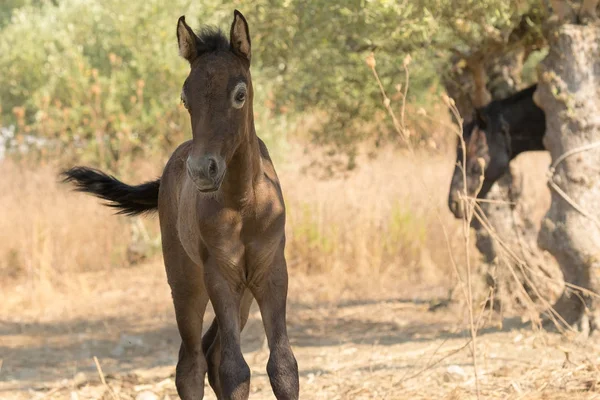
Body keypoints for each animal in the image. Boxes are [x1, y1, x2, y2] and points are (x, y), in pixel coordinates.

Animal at [61, 9, 300, 400]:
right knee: (192, 363)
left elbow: (282, 366)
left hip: (242, 293)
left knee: (210, 352)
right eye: (186, 98)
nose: (202, 169)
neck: (244, 203)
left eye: (240, 94)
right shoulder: (219, 274)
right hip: (187, 281)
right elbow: (236, 370)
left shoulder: (271, 272)